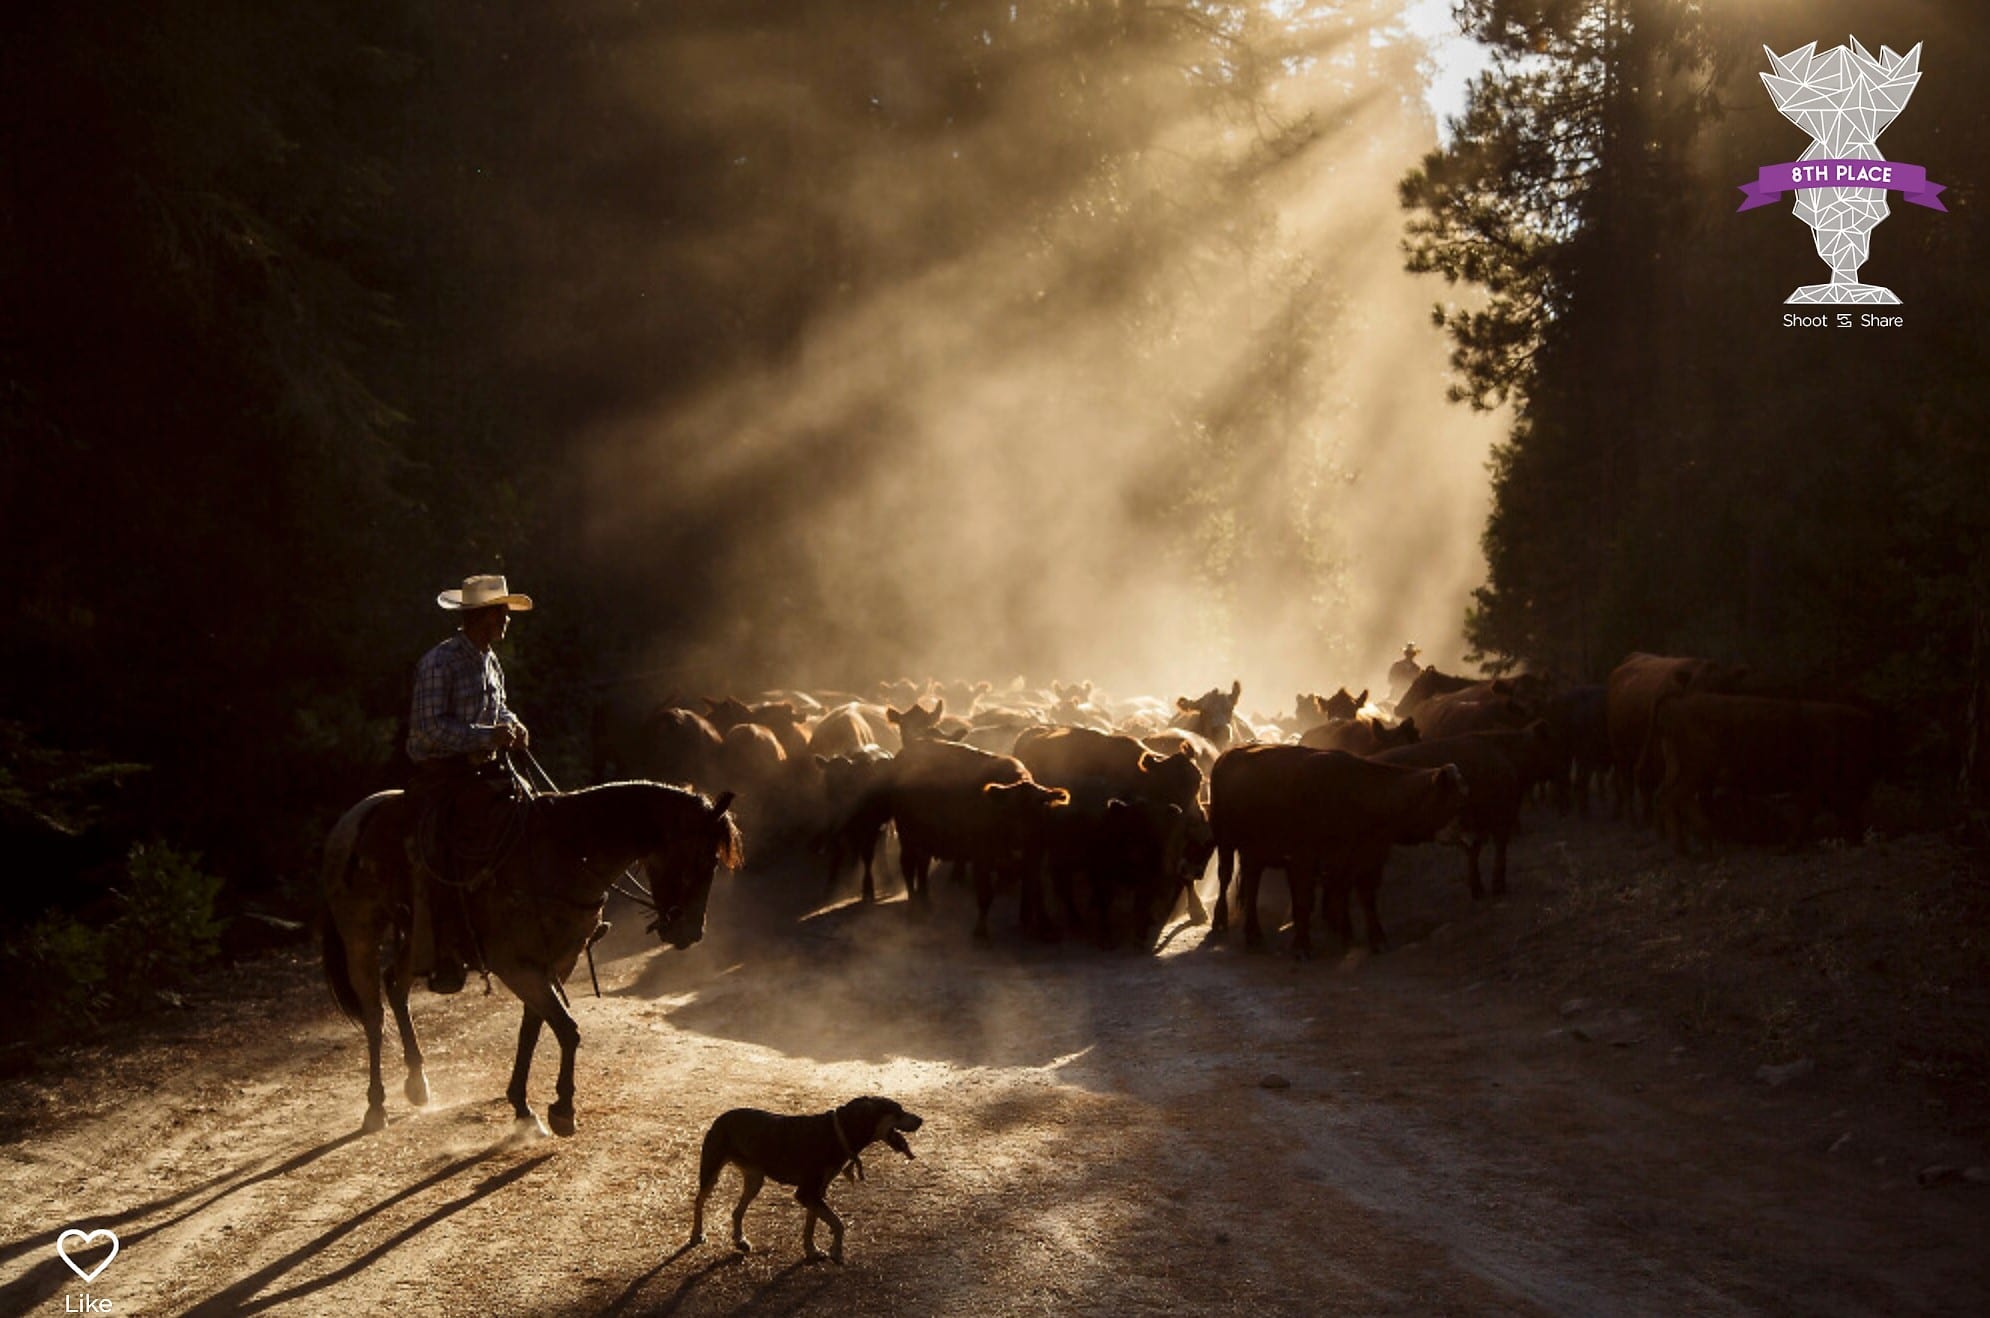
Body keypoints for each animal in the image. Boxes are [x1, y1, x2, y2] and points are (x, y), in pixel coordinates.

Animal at [322, 780, 744, 1138]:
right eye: (702, 861)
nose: (690, 933)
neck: (564, 853)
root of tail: (355, 816)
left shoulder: (555, 964)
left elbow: (533, 1029)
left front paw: (523, 1109)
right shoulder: (516, 966)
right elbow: (567, 1030)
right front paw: (563, 1109)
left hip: (416, 939)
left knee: (395, 986)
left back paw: (417, 1083)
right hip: (360, 937)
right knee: (374, 1014)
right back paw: (376, 1106)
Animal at [692, 1098, 923, 1266]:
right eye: (898, 1111)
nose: (921, 1119)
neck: (838, 1132)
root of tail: (721, 1117)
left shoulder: (816, 1192)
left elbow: (812, 1224)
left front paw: (812, 1251)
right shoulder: (806, 1192)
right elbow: (838, 1224)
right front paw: (836, 1252)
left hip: (755, 1180)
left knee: (737, 1211)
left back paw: (740, 1240)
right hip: (711, 1171)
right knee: (699, 1200)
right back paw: (697, 1234)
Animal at [1201, 748, 1472, 955]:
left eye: (1465, 799)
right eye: (1457, 803)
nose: (1468, 835)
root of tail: (1227, 754)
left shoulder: (1365, 860)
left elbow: (1362, 899)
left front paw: (1368, 938)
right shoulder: (1305, 859)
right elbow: (1305, 901)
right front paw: (1302, 946)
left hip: (1254, 854)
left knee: (1252, 885)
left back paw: (1254, 934)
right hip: (1225, 843)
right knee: (1225, 878)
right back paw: (1220, 922)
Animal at [1655, 692, 1870, 856]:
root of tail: (1674, 704)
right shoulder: (1820, 778)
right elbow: (1810, 809)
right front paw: (1787, 847)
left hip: (1686, 768)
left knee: (1675, 797)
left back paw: (1705, 842)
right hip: (1699, 766)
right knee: (1671, 797)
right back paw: (1686, 848)